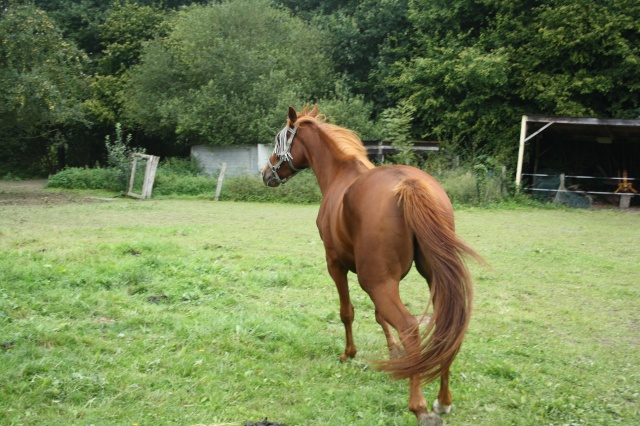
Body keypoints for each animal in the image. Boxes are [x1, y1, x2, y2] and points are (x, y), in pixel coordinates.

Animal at [262, 105, 480, 426]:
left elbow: (347, 312)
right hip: (429, 278)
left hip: (374, 281)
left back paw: (420, 406)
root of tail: (409, 184)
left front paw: (349, 354)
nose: (266, 173)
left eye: (279, 139)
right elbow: (379, 316)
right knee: (447, 325)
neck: (340, 175)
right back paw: (443, 400)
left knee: (410, 327)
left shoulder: (336, 265)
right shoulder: (386, 279)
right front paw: (394, 352)